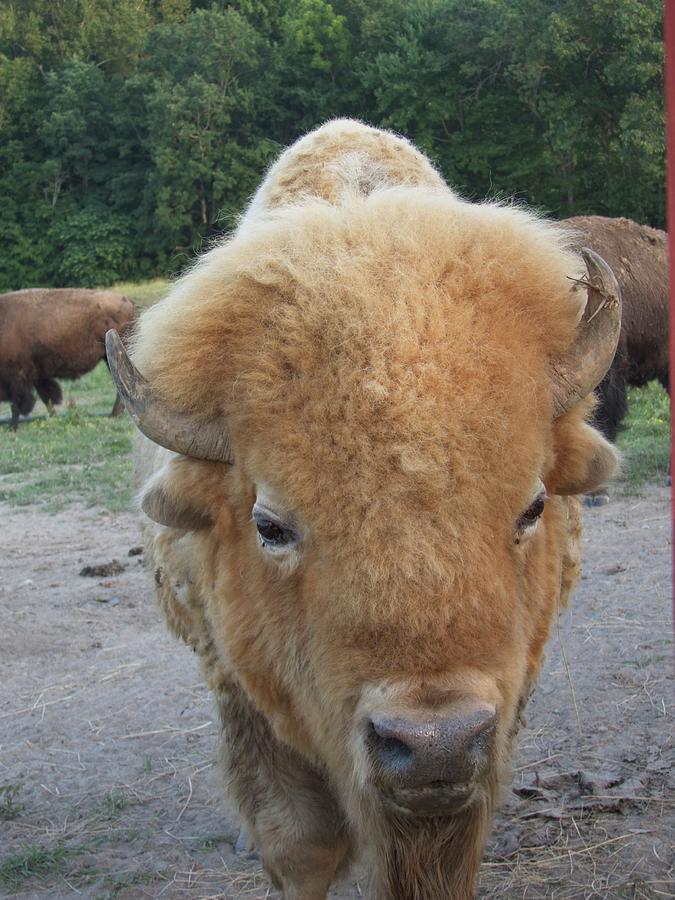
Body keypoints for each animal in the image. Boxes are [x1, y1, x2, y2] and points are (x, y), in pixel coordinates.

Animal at [0, 288, 137, 428]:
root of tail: (129, 301)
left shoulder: (17, 376)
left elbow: (17, 402)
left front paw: (13, 427)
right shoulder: (37, 376)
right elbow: (46, 398)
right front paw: (53, 418)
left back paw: (114, 415)